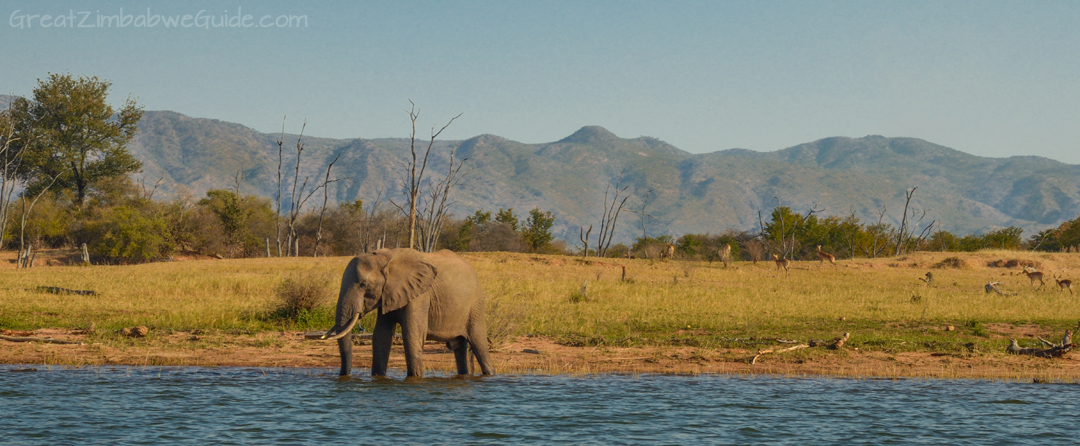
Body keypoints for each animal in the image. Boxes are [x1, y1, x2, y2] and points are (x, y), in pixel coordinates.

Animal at [317, 247, 492, 375]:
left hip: (475, 305)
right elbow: (381, 336)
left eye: (363, 285)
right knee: (460, 348)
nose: (344, 375)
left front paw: (415, 378)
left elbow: (412, 335)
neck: (385, 259)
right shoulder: (387, 294)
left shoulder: (420, 294)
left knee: (479, 344)